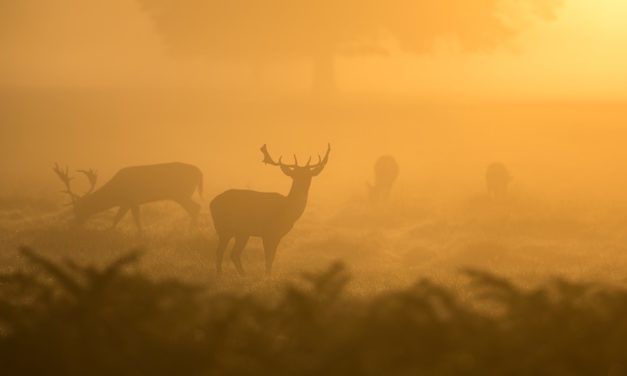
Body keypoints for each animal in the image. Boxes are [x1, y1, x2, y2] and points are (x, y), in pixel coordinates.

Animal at [53, 162, 204, 232]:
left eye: (78, 209)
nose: (74, 224)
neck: (116, 193)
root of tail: (199, 171)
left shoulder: (132, 199)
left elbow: (133, 218)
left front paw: (140, 233)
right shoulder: (126, 202)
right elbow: (118, 218)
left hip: (181, 193)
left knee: (195, 207)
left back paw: (191, 230)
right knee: (195, 207)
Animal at [211, 142, 332, 274]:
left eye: (308, 175)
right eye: (294, 175)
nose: (303, 185)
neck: (288, 210)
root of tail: (212, 203)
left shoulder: (277, 235)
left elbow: (272, 258)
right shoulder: (268, 232)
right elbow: (268, 259)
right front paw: (267, 276)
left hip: (242, 232)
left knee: (234, 253)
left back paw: (242, 275)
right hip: (224, 228)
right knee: (220, 252)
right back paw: (220, 274)